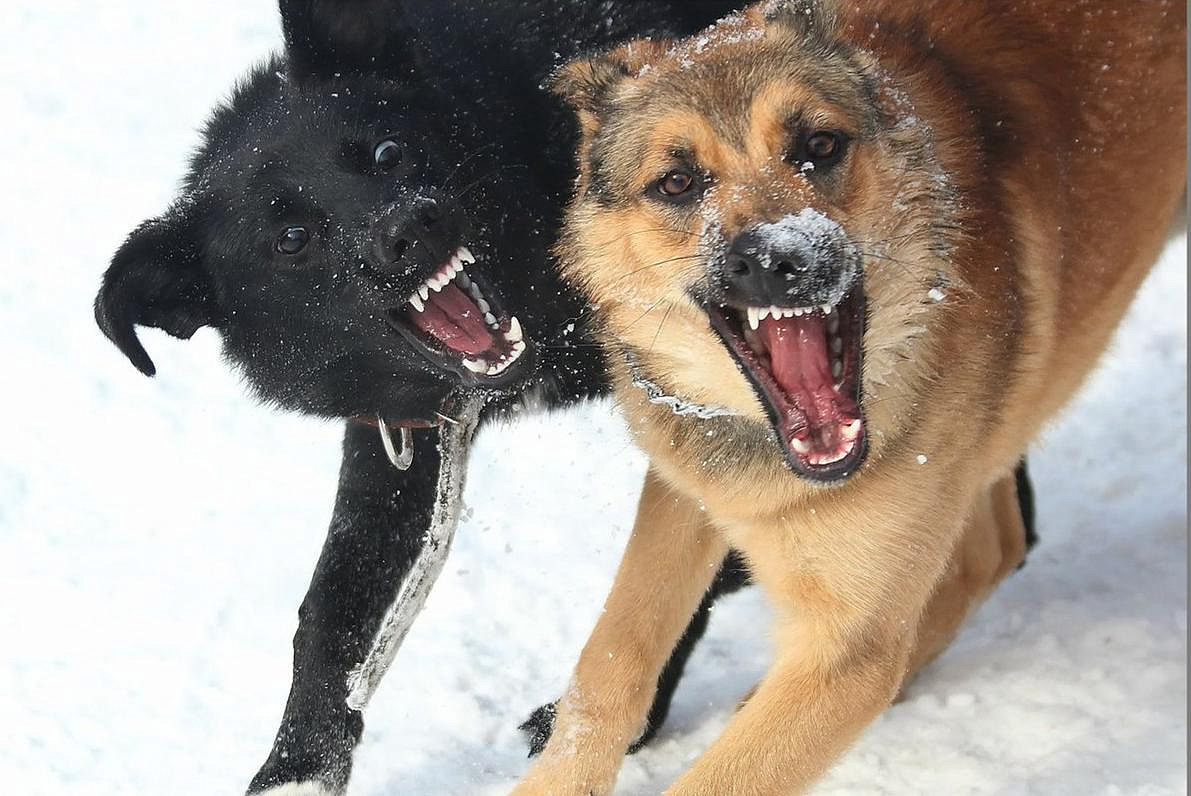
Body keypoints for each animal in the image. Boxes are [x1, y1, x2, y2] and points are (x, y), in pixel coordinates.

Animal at [95, 3, 743, 791]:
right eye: (291, 238)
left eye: (387, 152)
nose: (410, 228)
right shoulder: (401, 439)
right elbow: (332, 613)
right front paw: (297, 767)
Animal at [509, 1, 1181, 796]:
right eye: (676, 182)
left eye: (819, 145)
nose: (779, 258)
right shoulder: (687, 482)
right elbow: (609, 659)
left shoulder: (848, 646)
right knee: (996, 545)